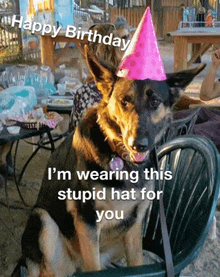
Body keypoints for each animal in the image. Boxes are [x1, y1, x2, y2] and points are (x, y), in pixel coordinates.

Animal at [15, 48, 205, 274]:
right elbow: (94, 265)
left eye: (154, 102)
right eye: (124, 101)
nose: (137, 145)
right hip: (43, 220)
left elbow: (137, 261)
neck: (120, 158)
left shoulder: (134, 223)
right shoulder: (87, 221)